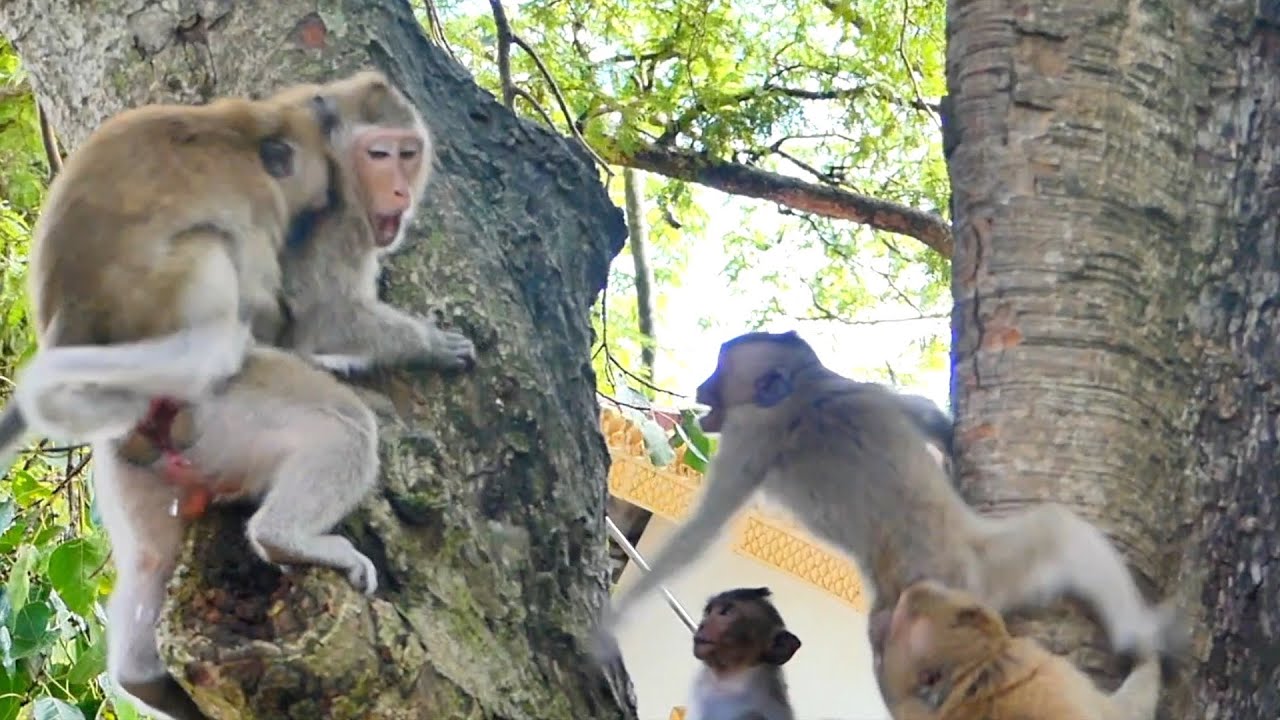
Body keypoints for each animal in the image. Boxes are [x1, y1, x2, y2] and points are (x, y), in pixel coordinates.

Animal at [0, 91, 339, 476]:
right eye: (319, 202)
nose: (325, 105)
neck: (245, 139)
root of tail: (68, 313)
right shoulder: (257, 207)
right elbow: (261, 297)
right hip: (154, 298)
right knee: (208, 242)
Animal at [593, 330, 1182, 671]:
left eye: (718, 374)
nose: (699, 386)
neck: (806, 388)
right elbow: (923, 415)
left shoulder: (754, 433)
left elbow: (702, 531)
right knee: (1061, 532)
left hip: (982, 575)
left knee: (1058, 531)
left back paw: (1139, 631)